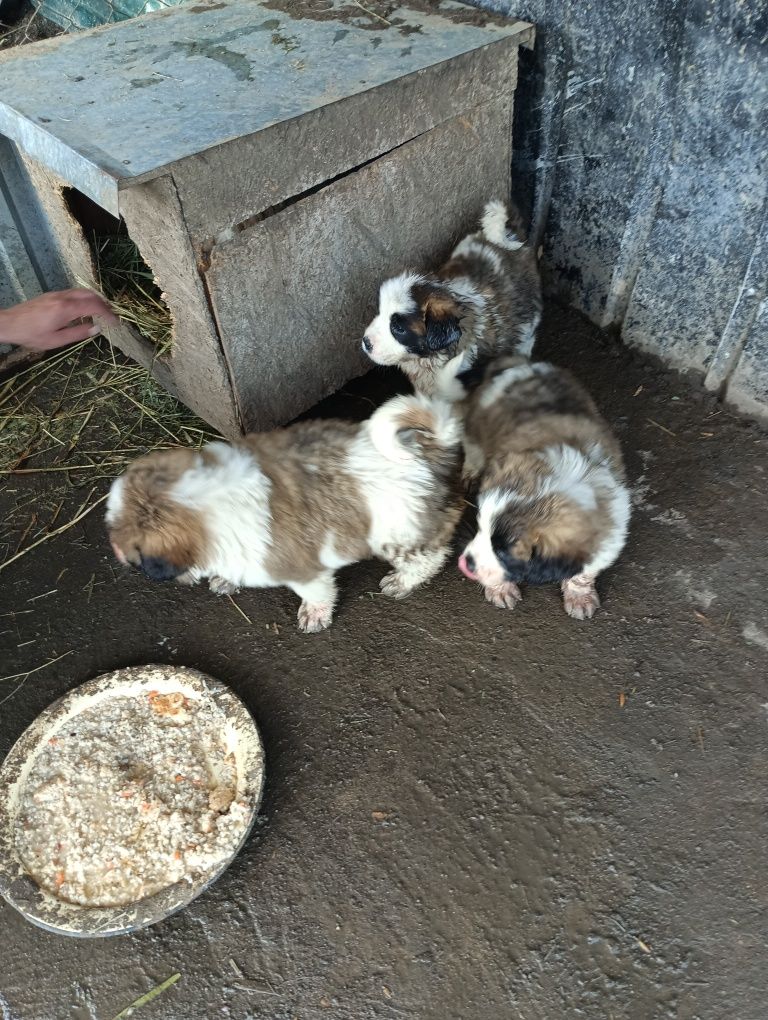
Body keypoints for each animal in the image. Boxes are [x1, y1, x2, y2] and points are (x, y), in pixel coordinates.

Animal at [106, 393, 461, 632]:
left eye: (132, 548)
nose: (115, 552)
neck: (201, 501)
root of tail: (422, 449)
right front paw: (225, 578)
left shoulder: (303, 569)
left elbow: (316, 591)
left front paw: (315, 614)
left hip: (398, 530)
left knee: (431, 556)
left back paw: (403, 581)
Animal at [440, 354, 632, 616]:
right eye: (479, 528)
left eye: (503, 552)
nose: (465, 563)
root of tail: (519, 364)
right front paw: (500, 589)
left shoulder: (611, 532)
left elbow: (584, 571)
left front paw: (579, 595)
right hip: (475, 427)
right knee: (473, 448)